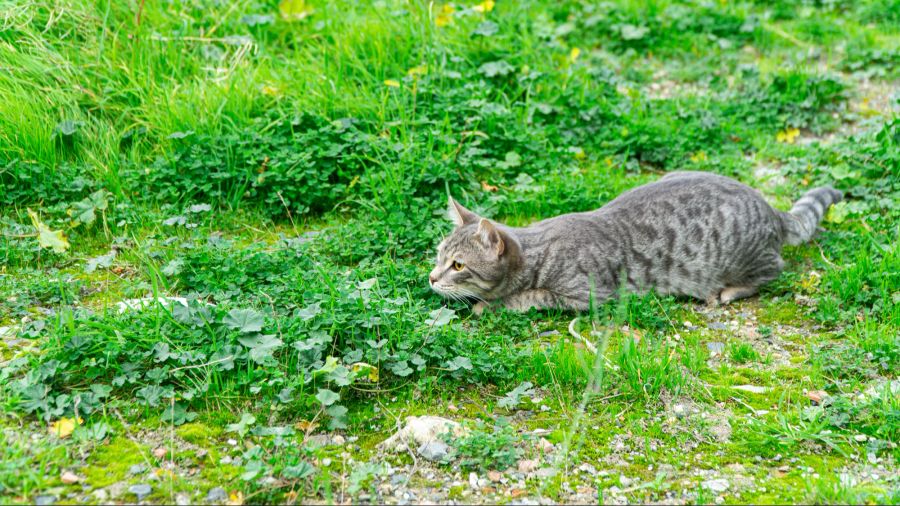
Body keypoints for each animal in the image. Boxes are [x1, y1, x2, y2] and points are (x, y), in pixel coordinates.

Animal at [428, 171, 844, 312]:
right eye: (438, 256)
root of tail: (769, 207)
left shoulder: (590, 295)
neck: (538, 248)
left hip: (743, 256)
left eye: (458, 265)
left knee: (774, 268)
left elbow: (532, 296)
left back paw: (729, 290)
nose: (431, 277)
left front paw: (489, 304)